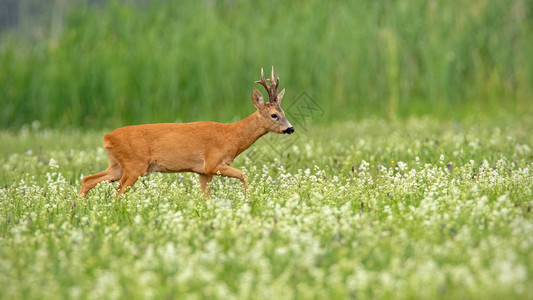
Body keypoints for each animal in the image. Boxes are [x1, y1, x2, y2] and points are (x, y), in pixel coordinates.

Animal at [78, 68, 296, 198]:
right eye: (275, 115)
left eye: (284, 113)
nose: (290, 129)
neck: (231, 137)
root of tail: (107, 137)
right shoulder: (213, 163)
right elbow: (244, 174)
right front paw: (248, 198)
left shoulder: (203, 171)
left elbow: (205, 197)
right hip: (134, 165)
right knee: (118, 192)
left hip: (118, 166)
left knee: (88, 179)